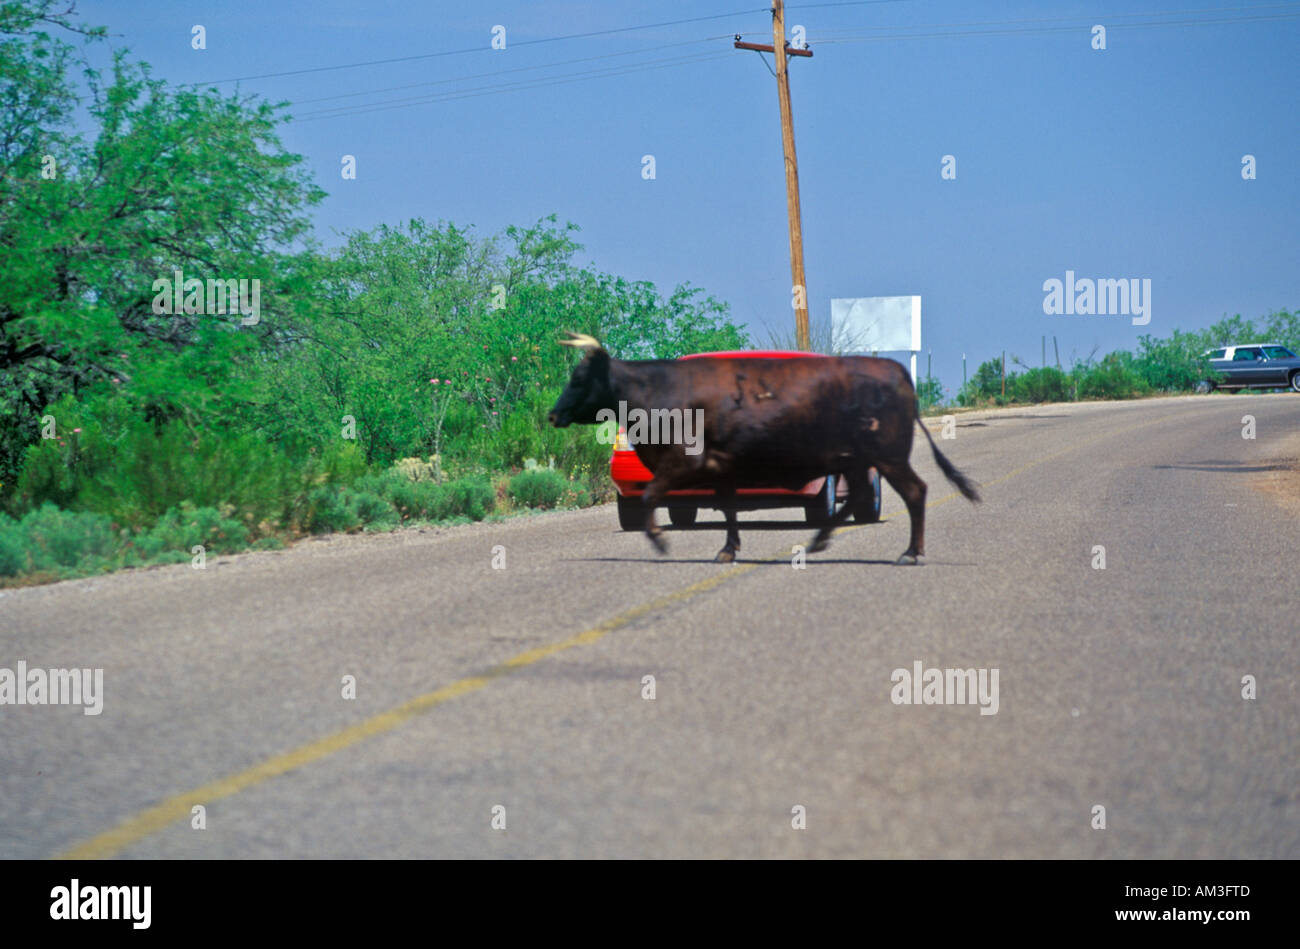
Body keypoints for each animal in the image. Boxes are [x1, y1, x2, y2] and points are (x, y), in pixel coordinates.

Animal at [548, 333, 980, 564]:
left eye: (579, 378)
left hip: (886, 457)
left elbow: (652, 493)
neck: (656, 390)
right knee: (861, 494)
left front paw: (659, 540)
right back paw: (820, 541)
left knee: (914, 492)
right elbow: (728, 508)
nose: (552, 414)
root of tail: (895, 370)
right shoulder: (720, 466)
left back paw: (910, 552)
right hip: (856, 460)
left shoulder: (687, 460)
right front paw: (728, 549)